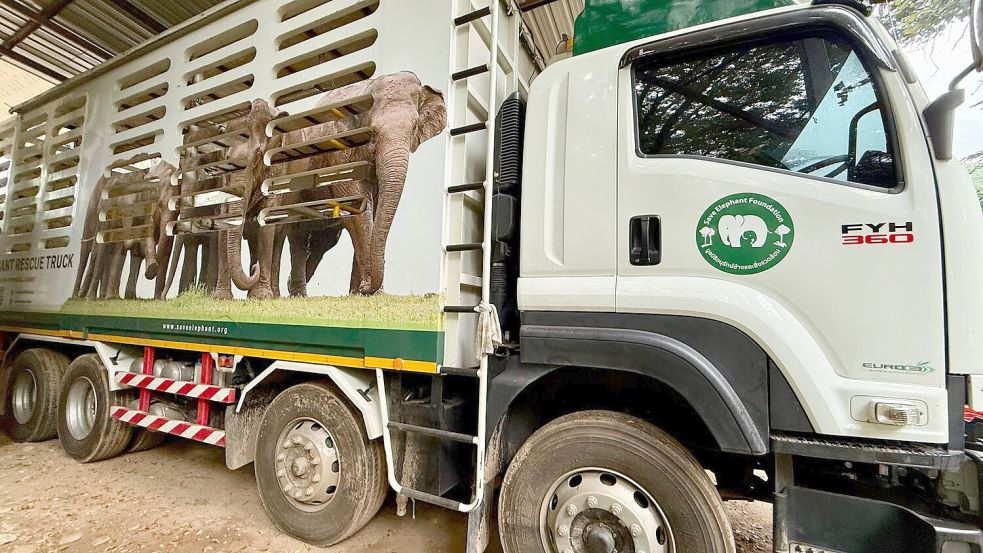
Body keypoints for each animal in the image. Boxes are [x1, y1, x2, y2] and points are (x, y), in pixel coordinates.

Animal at [268, 71, 447, 296]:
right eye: (372, 132)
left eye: (415, 127)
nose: (365, 287)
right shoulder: (340, 153)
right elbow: (358, 211)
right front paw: (368, 291)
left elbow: (374, 210)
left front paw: (360, 293)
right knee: (298, 233)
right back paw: (297, 293)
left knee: (324, 240)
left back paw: (293, 286)